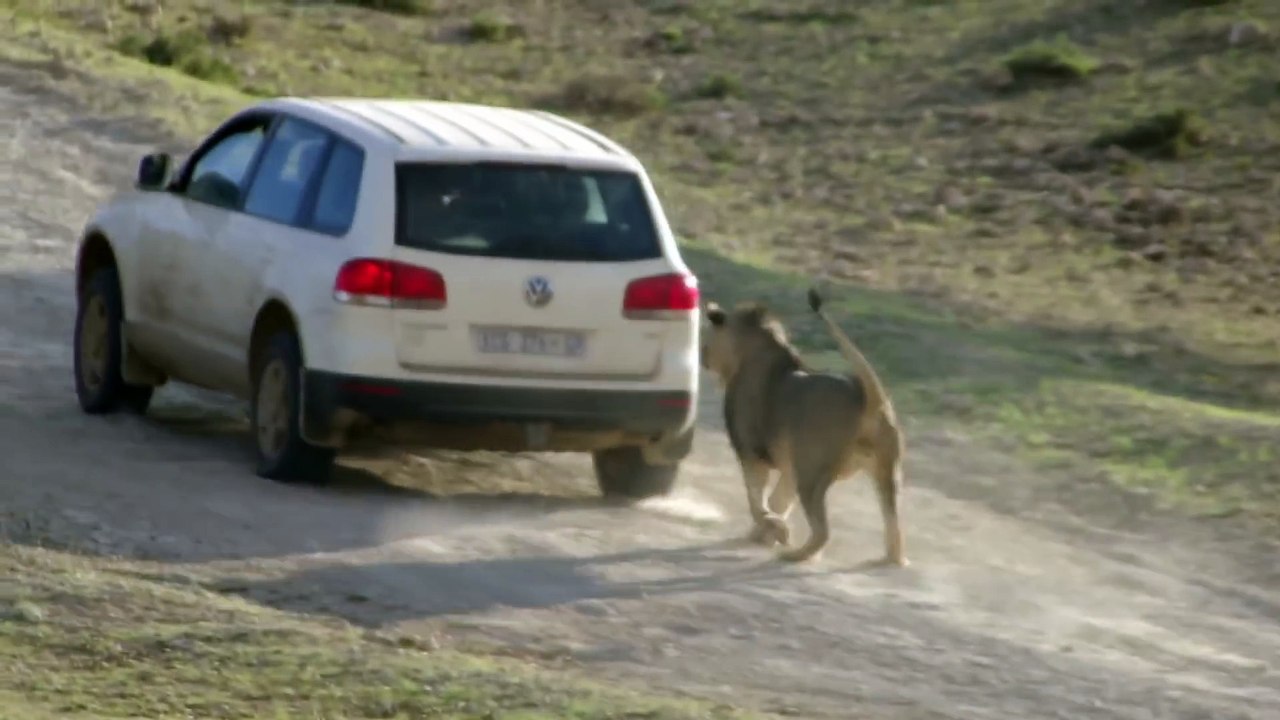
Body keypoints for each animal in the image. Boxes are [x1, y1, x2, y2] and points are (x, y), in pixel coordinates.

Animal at [700, 287, 907, 566]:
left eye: (706, 338)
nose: (702, 356)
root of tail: (866, 396)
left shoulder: (751, 452)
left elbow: (756, 500)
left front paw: (776, 531)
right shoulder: (790, 466)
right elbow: (778, 500)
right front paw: (763, 535)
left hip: (812, 472)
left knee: (823, 531)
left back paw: (796, 555)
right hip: (887, 473)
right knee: (894, 526)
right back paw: (892, 559)